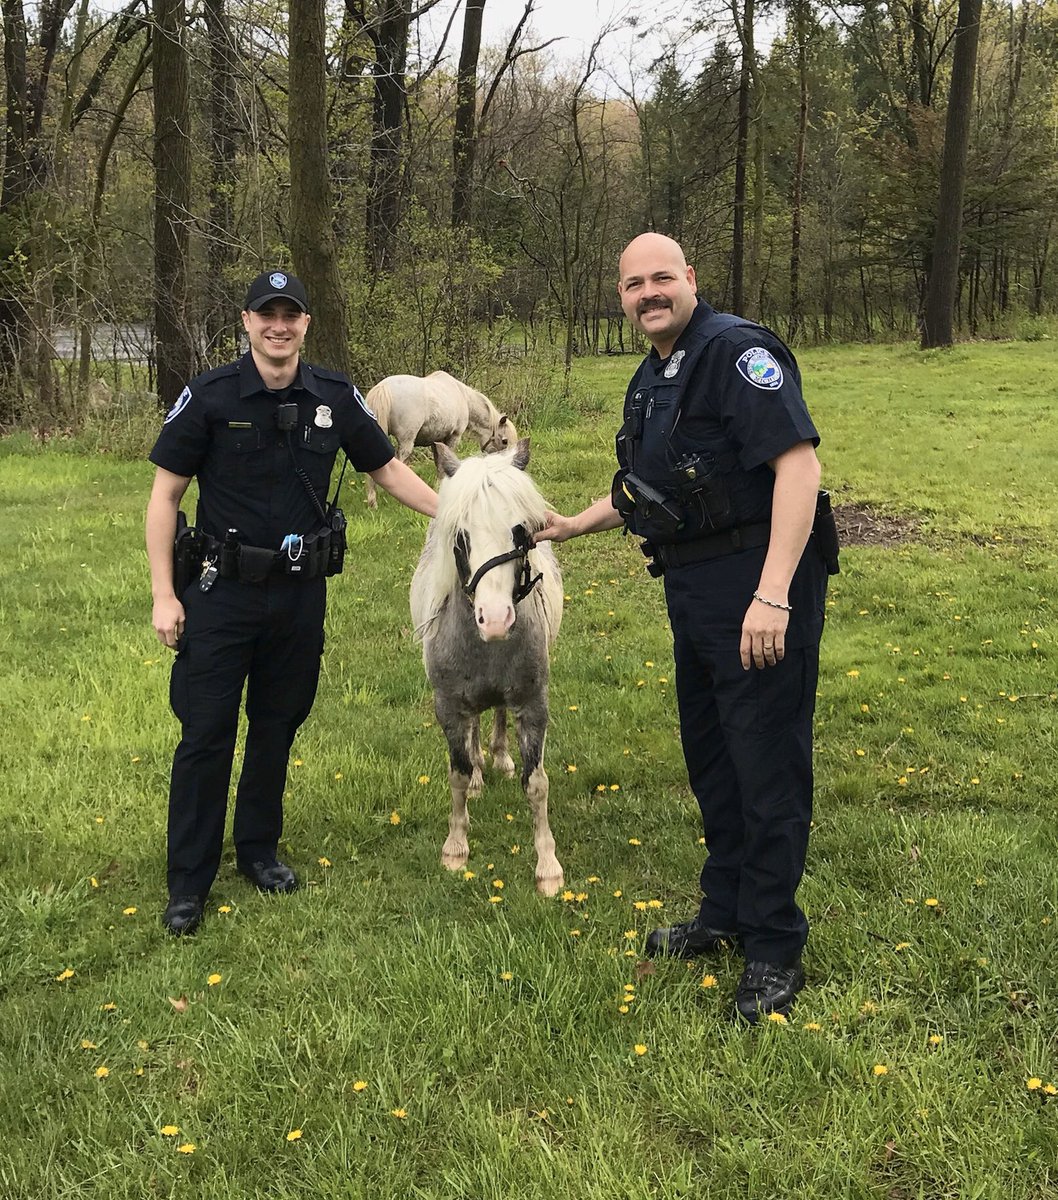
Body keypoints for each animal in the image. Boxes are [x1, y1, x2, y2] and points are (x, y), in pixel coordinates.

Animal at [363, 370, 517, 508]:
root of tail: (383, 387)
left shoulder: (435, 441)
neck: (462, 396)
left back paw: (372, 503)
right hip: (407, 441)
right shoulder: (453, 437)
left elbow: (439, 464)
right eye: (505, 441)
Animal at [410, 439, 565, 895]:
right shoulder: (448, 707)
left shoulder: (533, 705)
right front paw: (455, 849)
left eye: (522, 532)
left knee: (494, 713)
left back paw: (498, 756)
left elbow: (536, 783)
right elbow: (457, 775)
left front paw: (547, 867)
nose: (494, 619)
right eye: (460, 536)